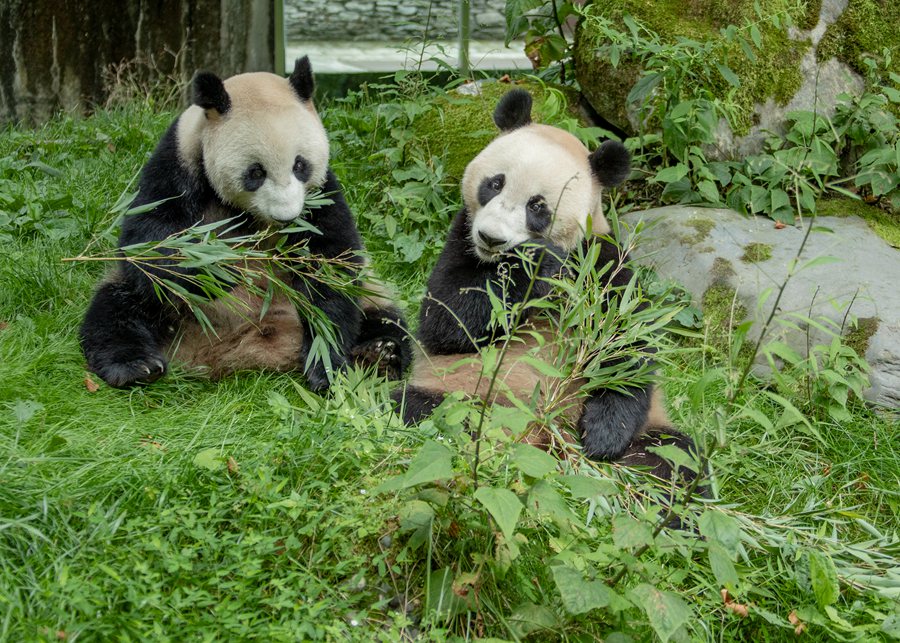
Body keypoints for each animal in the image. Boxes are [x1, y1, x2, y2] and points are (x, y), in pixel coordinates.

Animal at [80, 57, 410, 390]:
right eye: (256, 172)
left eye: (300, 165)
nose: (287, 217)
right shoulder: (177, 164)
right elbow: (150, 240)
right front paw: (216, 268)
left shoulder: (321, 194)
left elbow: (331, 266)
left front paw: (325, 366)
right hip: (158, 306)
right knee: (120, 310)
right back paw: (136, 366)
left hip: (372, 293)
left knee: (385, 317)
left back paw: (380, 355)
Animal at [393, 89, 700, 484]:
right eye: (495, 183)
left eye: (537, 206)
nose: (491, 238)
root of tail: (544, 437)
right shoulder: (461, 236)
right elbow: (446, 320)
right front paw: (535, 264)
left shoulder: (600, 259)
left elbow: (625, 344)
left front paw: (604, 435)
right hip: (461, 393)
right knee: (419, 408)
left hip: (646, 433)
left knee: (675, 458)